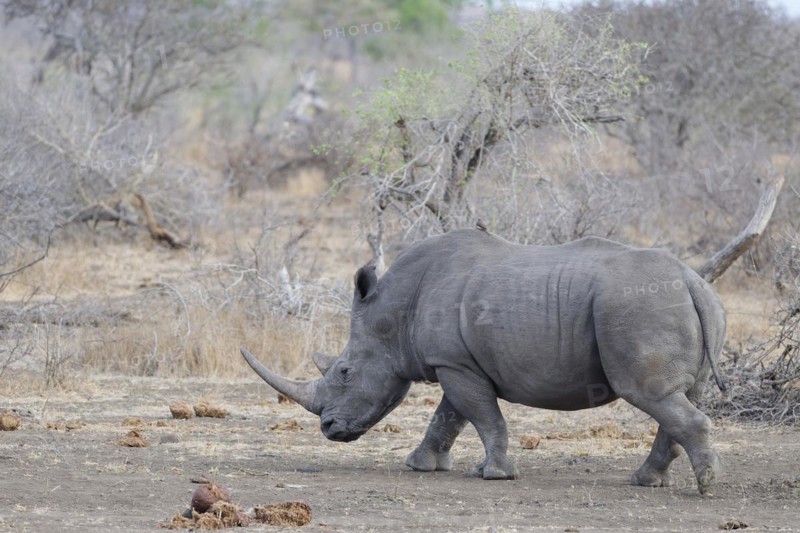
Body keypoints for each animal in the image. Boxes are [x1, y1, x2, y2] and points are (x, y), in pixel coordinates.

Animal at [240, 227, 729, 494]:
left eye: (344, 372)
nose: (328, 428)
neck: (394, 314)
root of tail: (691, 280)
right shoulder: (456, 361)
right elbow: (450, 417)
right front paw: (421, 466)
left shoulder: (454, 364)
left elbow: (480, 415)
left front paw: (495, 475)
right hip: (686, 304)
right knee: (679, 395)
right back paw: (646, 481)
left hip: (637, 306)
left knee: (648, 393)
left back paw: (703, 488)